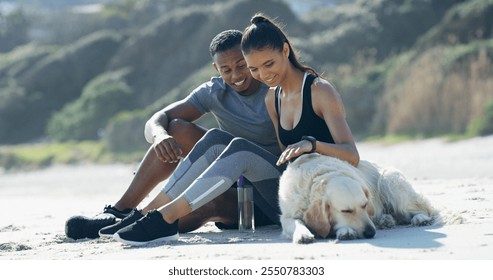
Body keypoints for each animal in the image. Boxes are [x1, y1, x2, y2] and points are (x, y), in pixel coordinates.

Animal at [278, 153, 436, 243]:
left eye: (365, 205)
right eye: (346, 211)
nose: (371, 232)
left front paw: (345, 231)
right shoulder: (287, 216)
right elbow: (296, 223)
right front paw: (302, 234)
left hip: (389, 181)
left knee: (422, 209)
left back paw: (420, 219)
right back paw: (385, 220)